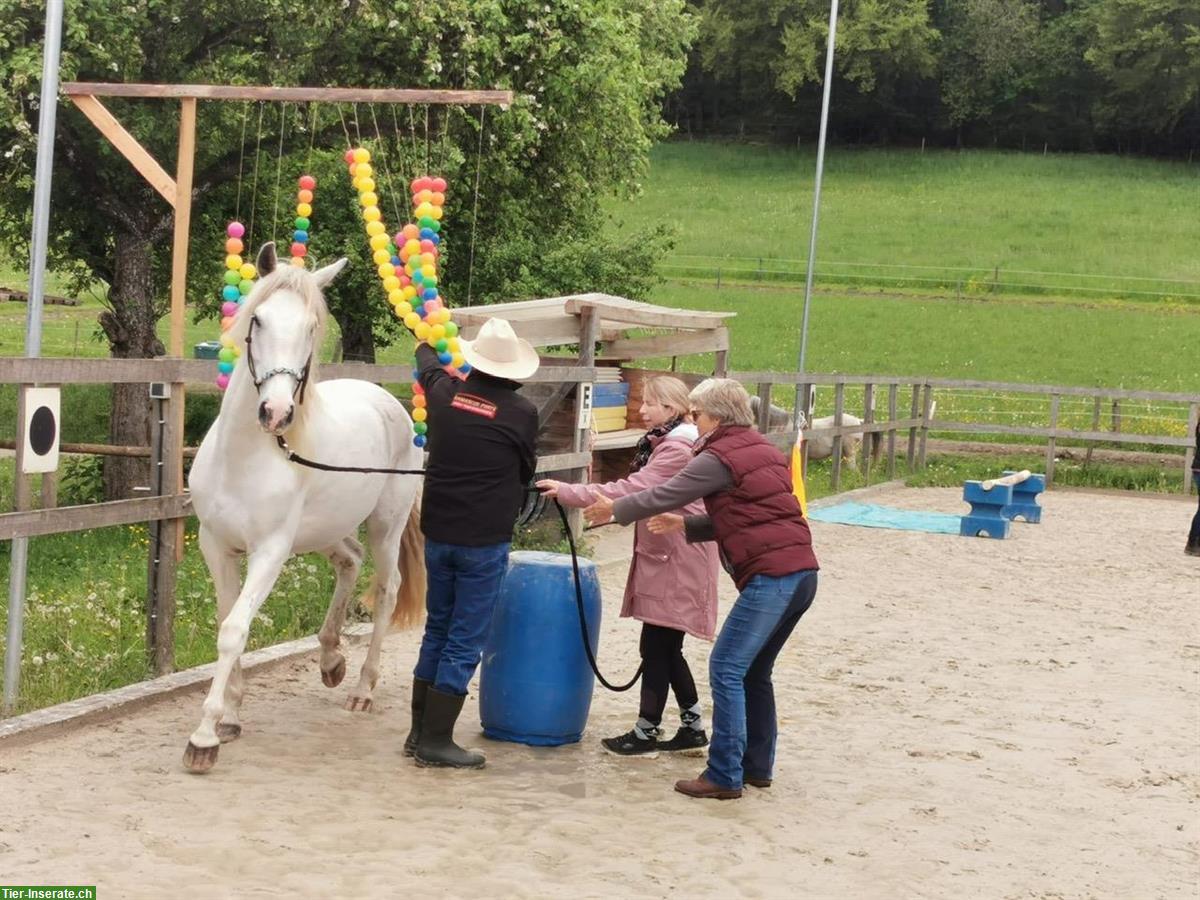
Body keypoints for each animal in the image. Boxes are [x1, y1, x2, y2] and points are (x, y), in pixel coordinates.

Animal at [177, 244, 422, 777]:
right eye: (258, 320)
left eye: (312, 327)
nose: (276, 413)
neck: (243, 458)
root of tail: (389, 402)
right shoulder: (215, 546)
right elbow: (226, 621)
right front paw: (231, 715)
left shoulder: (269, 553)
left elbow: (234, 630)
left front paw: (204, 737)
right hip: (325, 531)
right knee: (349, 561)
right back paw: (331, 661)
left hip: (385, 527)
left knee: (386, 588)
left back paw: (362, 688)